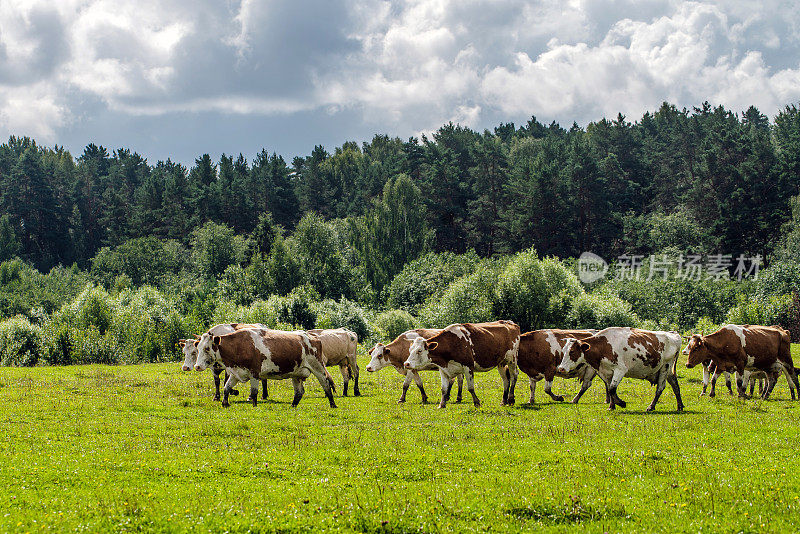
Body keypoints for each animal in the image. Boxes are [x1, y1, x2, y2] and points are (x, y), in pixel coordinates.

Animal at [195, 328, 336, 408]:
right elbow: (226, 388)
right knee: (299, 392)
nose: (197, 366)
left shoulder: (254, 373)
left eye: (207, 348)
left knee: (326, 385)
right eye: (198, 347)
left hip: (318, 367)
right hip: (296, 374)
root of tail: (313, 337)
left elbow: (254, 392)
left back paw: (333, 404)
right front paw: (225, 403)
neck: (239, 346)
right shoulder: (236, 373)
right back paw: (293, 405)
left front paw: (254, 406)